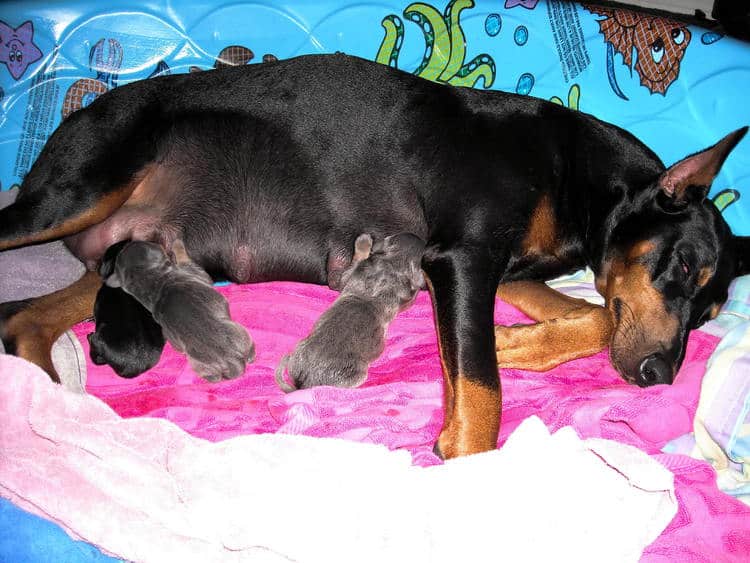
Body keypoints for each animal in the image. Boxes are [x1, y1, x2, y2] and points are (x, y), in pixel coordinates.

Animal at [103, 240, 258, 382]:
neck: (154, 282)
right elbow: (183, 257)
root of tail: (231, 360)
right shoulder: (193, 271)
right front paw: (177, 243)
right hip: (239, 333)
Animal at [278, 231, 428, 394]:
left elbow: (350, 270)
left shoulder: (356, 272)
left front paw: (363, 242)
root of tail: (305, 382)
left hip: (299, 347)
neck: (393, 264)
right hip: (358, 375)